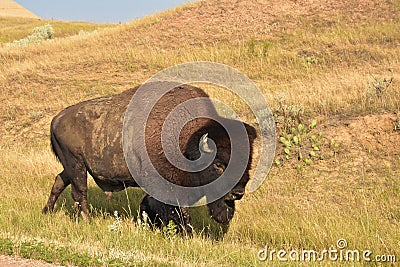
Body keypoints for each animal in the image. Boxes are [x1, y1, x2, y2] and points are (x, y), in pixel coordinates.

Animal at [43, 82, 256, 234]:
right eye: (218, 164)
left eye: (248, 163)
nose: (238, 192)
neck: (187, 139)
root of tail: (57, 118)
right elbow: (179, 210)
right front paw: (187, 233)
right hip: (76, 165)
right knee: (80, 192)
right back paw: (86, 221)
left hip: (71, 166)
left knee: (59, 182)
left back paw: (47, 211)